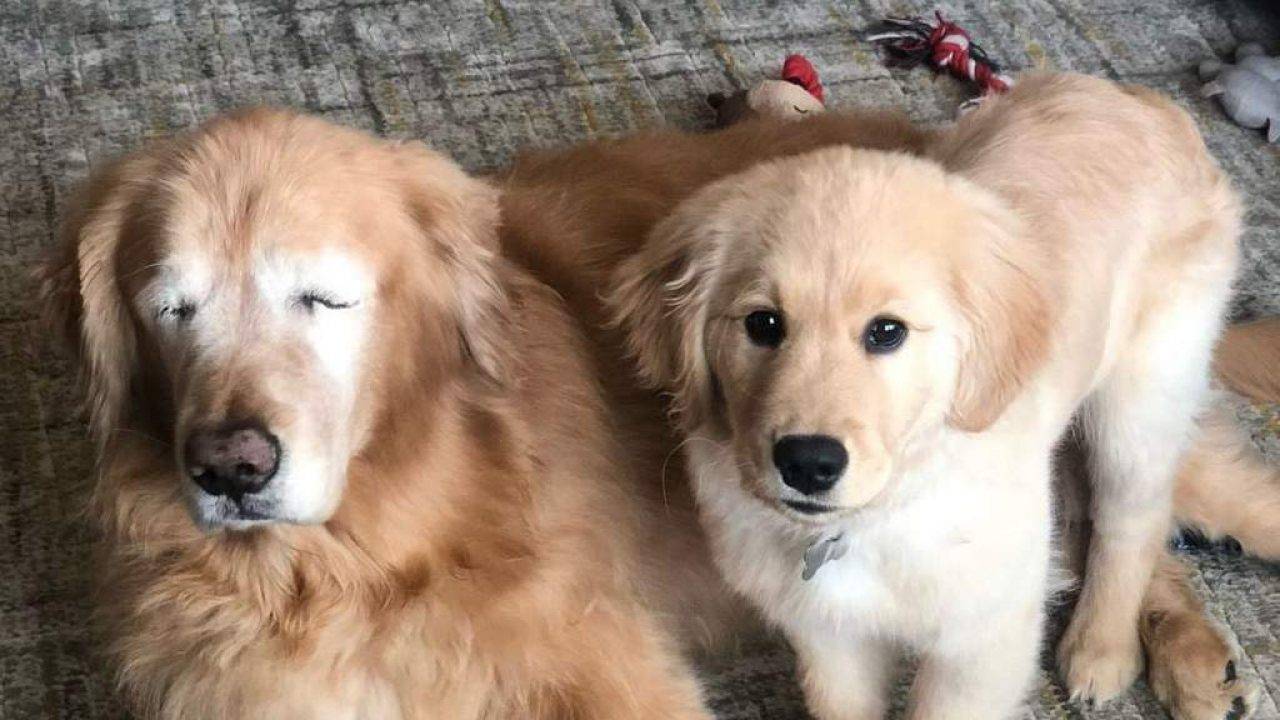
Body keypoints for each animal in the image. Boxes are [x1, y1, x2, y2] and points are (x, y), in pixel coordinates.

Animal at [604, 75, 1244, 712]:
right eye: (763, 324)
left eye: (887, 331)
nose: (807, 463)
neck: (872, 519)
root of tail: (1137, 98)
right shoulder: (828, 635)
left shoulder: (983, 641)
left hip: (1146, 388)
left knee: (1131, 519)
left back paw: (1100, 649)